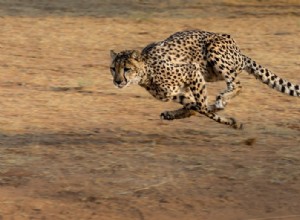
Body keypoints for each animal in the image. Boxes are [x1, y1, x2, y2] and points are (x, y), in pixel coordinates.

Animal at [109, 29, 298, 129]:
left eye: (126, 69)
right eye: (113, 69)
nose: (117, 81)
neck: (147, 72)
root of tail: (239, 51)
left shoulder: (192, 71)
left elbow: (201, 107)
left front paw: (230, 121)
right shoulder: (179, 92)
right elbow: (197, 107)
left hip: (214, 52)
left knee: (237, 84)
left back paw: (222, 99)